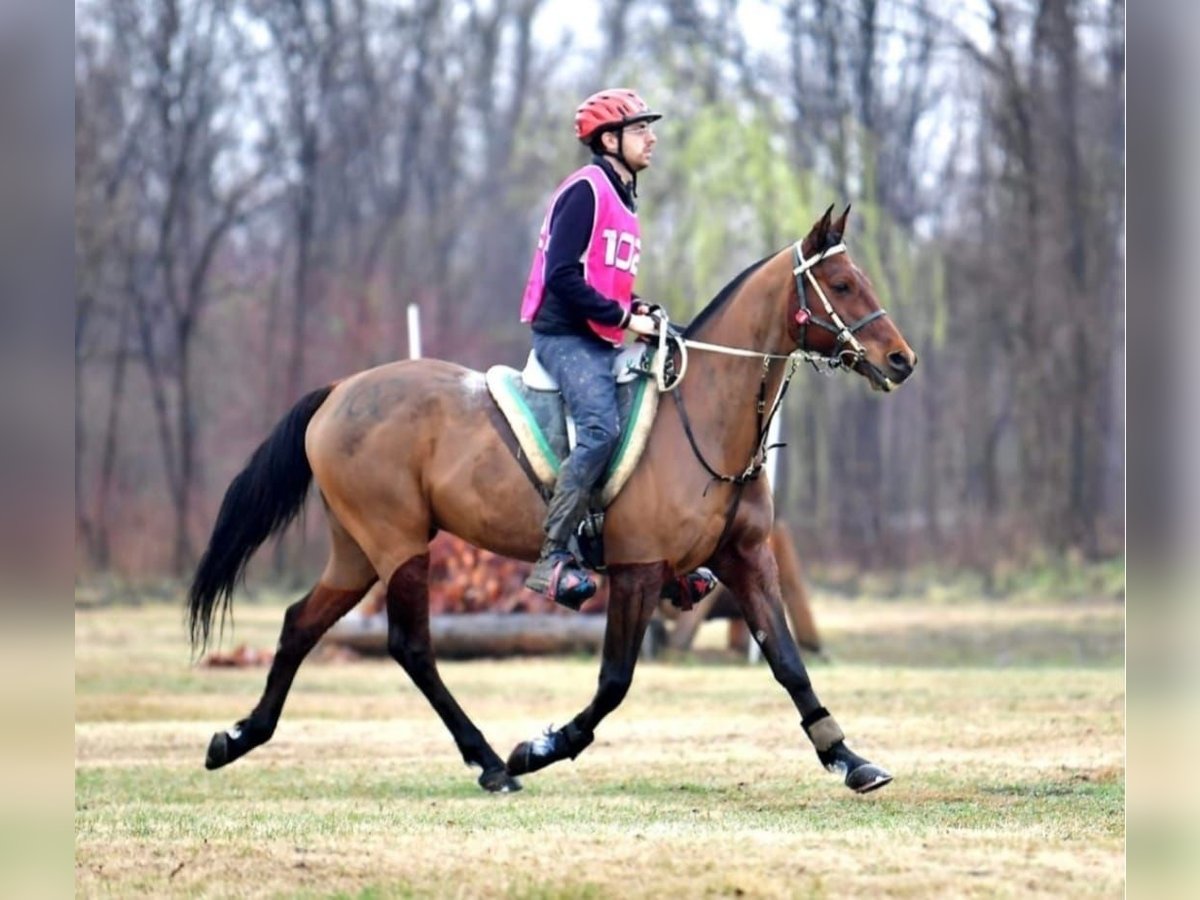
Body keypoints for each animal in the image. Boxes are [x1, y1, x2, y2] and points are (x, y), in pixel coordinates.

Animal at [189, 204, 916, 796]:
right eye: (842, 285)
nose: (901, 360)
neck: (705, 414)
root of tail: (340, 391)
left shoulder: (747, 560)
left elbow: (789, 662)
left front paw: (848, 758)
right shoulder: (637, 570)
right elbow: (614, 681)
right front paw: (541, 747)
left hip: (360, 552)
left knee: (300, 624)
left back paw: (238, 737)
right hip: (399, 546)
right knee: (412, 648)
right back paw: (490, 763)